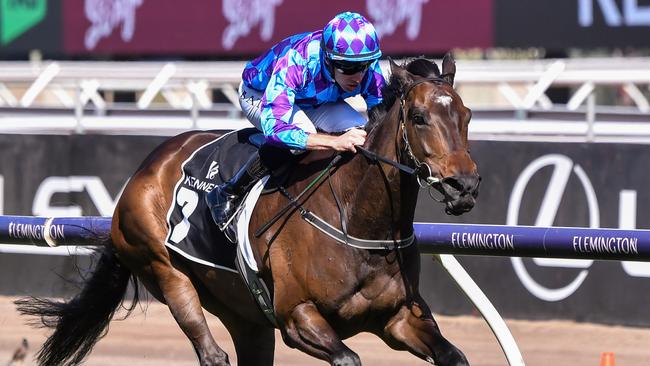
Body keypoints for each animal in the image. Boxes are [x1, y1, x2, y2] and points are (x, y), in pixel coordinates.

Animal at [17, 55, 478, 366]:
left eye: (467, 115)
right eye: (418, 117)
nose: (464, 186)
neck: (359, 221)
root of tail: (145, 169)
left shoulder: (399, 318)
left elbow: (454, 355)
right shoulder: (297, 317)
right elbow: (347, 356)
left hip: (244, 314)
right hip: (165, 270)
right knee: (211, 351)